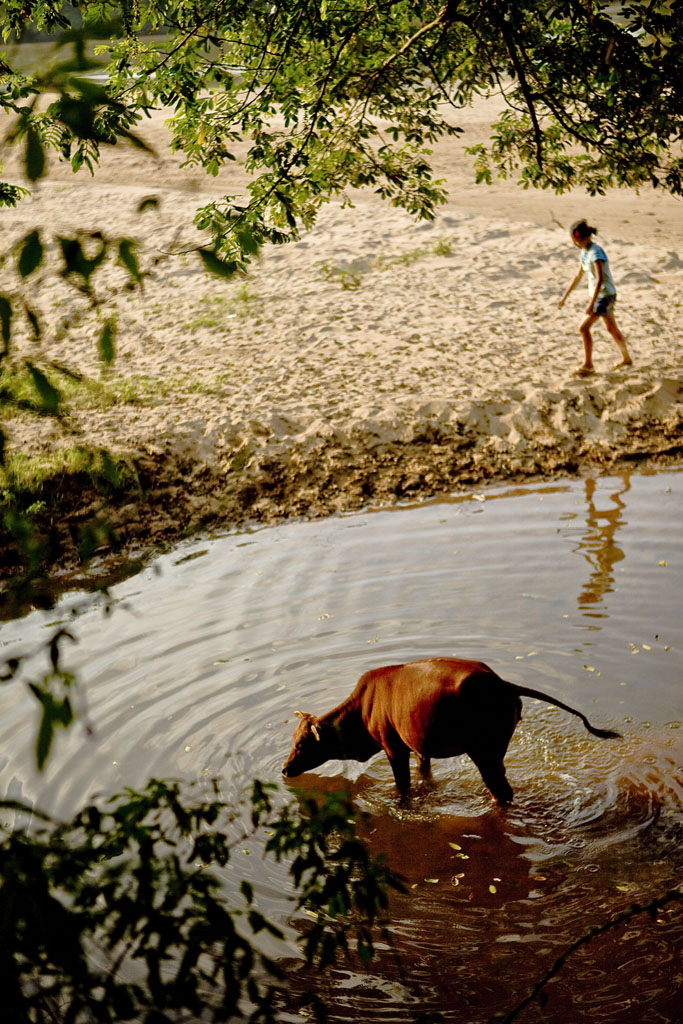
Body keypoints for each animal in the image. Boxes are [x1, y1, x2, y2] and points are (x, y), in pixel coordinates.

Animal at [280, 659, 622, 802]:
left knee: (502, 792)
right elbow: (425, 773)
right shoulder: (419, 747)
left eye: (302, 743)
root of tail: (505, 684)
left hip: (483, 752)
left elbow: (403, 787)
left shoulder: (394, 747)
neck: (362, 714)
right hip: (495, 752)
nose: (284, 769)